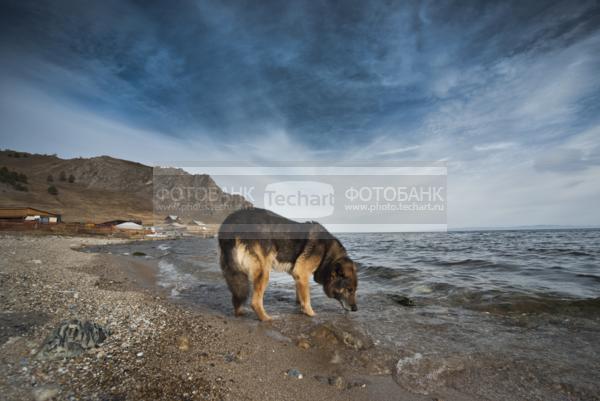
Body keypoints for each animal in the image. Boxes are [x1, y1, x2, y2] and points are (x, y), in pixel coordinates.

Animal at [218, 208, 358, 320]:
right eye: (349, 289)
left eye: (355, 290)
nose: (356, 309)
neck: (327, 254)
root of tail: (232, 223)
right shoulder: (302, 273)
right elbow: (307, 299)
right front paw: (311, 314)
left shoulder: (298, 276)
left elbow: (300, 295)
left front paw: (300, 308)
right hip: (264, 271)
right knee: (255, 302)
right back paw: (266, 319)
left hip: (234, 271)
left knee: (237, 293)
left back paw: (240, 312)